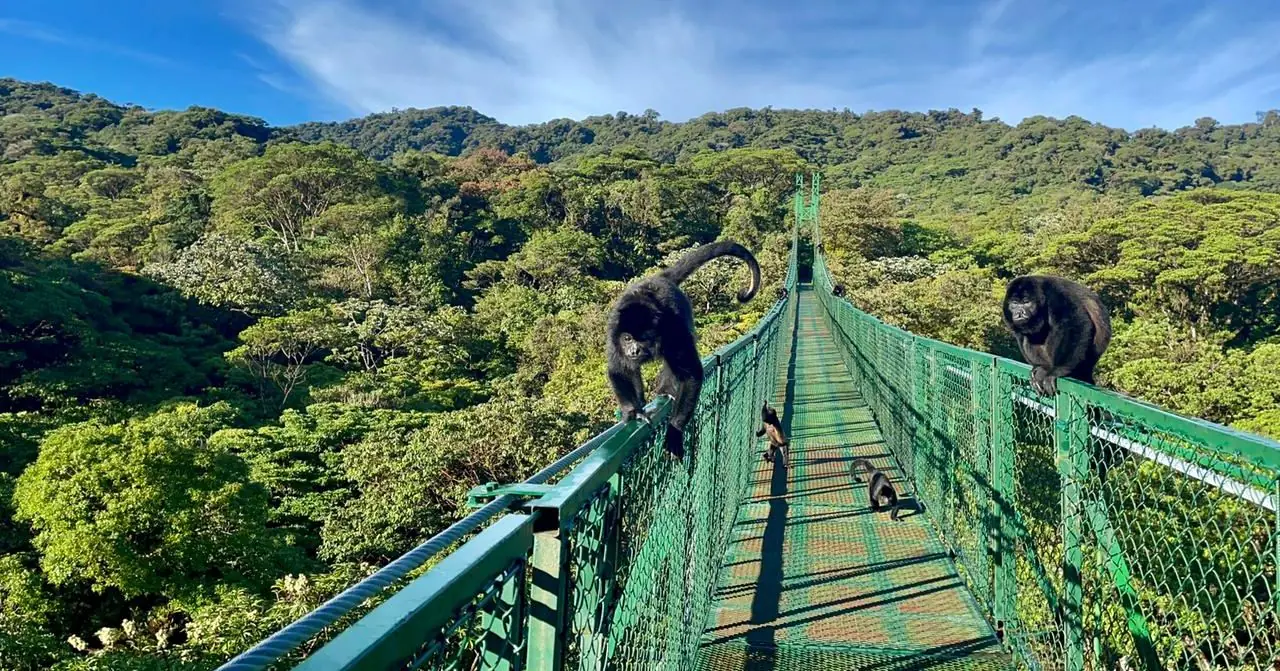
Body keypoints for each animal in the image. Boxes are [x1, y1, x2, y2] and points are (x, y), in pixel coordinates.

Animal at [607, 240, 761, 459]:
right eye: (627, 339)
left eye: (643, 339)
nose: (633, 351)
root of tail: (660, 278)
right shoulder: (614, 331)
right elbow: (619, 370)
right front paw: (634, 412)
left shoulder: (674, 330)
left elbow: (690, 374)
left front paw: (674, 431)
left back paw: (665, 391)